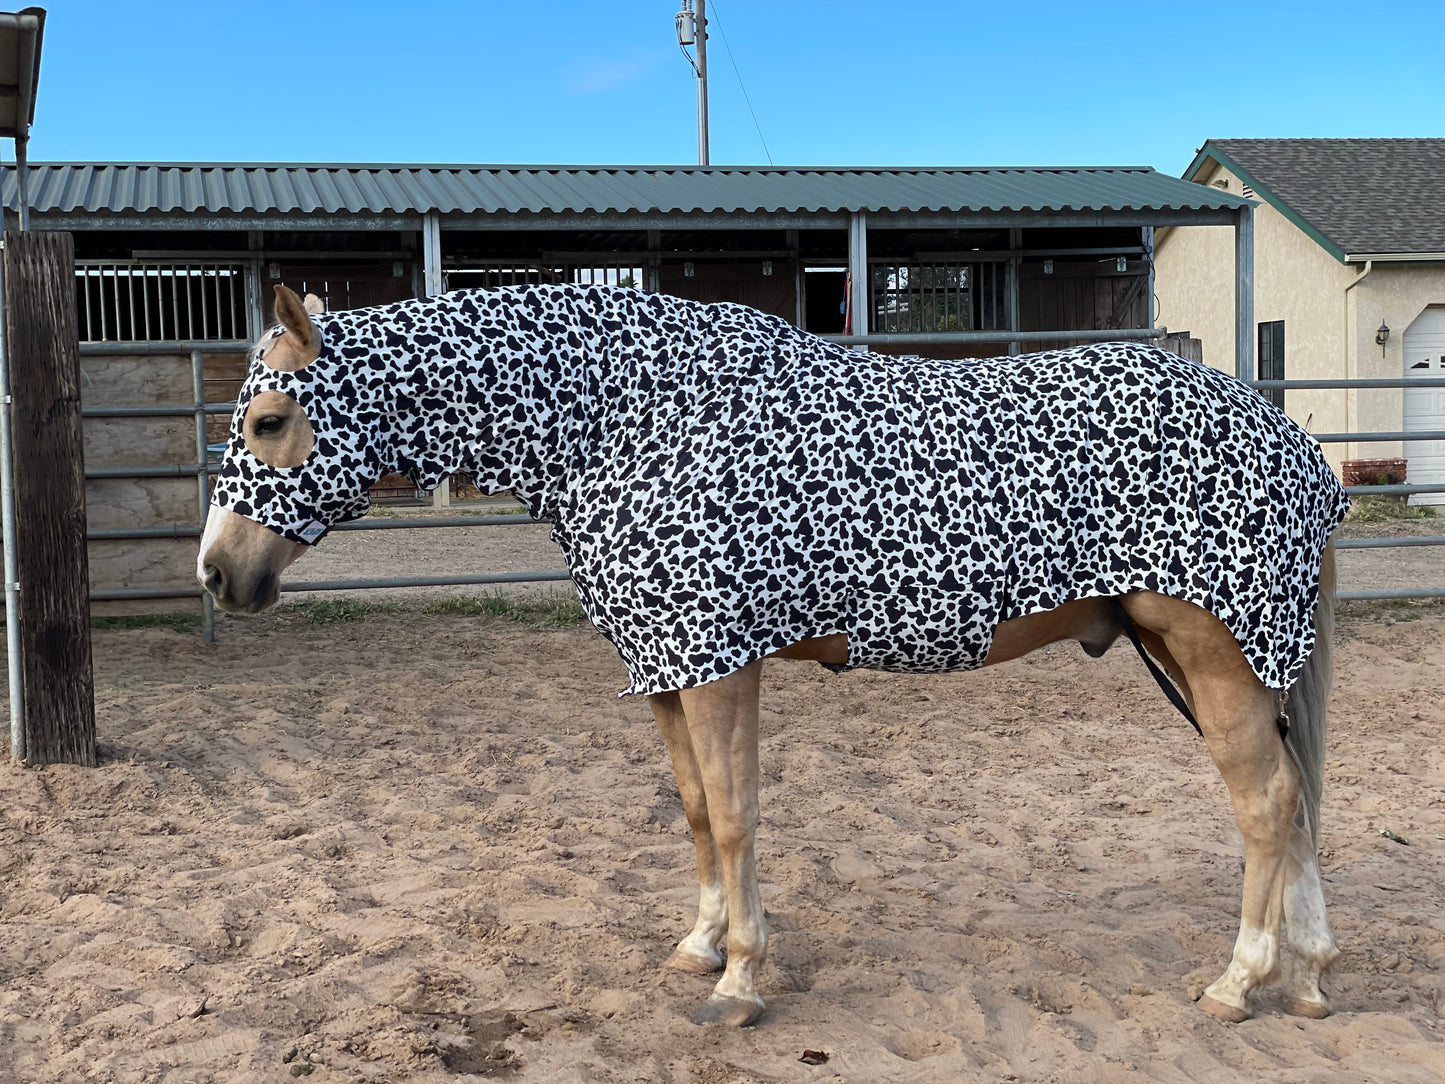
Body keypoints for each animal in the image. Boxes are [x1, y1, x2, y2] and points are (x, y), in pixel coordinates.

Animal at [199, 282, 1350, 1028]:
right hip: (1203, 662)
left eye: (269, 419)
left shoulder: (717, 667)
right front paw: (701, 945)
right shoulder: (667, 673)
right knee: (1293, 799)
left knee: (1262, 805)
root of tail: (1292, 443)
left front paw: (740, 980)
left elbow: (736, 813)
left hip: (1215, 655)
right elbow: (697, 813)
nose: (217, 573)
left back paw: (1237, 983)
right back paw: (1303, 977)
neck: (629, 419)